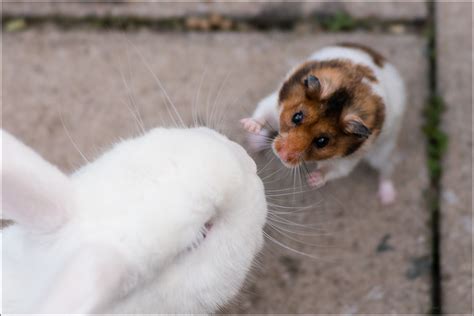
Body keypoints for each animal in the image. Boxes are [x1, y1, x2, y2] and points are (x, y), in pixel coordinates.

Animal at [243, 43, 406, 204]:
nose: (281, 155)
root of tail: (383, 59)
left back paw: (388, 198)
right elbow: (263, 113)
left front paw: (312, 180)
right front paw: (247, 125)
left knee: (387, 169)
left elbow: (333, 170)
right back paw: (253, 142)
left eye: (322, 141)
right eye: (296, 117)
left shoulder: (347, 160)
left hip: (383, 150)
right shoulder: (275, 103)